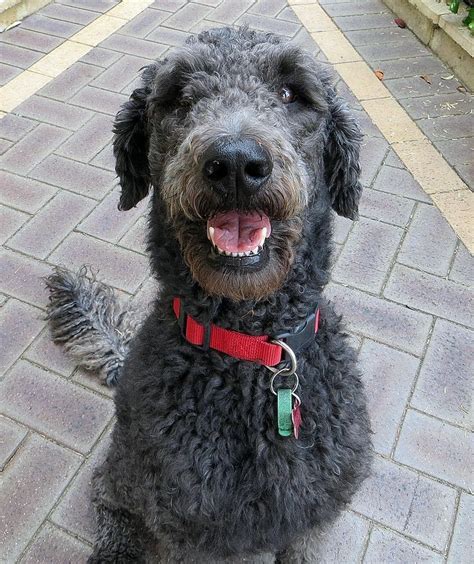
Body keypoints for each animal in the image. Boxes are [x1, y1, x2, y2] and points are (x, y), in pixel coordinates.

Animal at [47, 25, 374, 564]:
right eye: (179, 97)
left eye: (291, 93)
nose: (237, 163)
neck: (250, 352)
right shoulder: (193, 533)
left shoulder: (311, 523)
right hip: (122, 475)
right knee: (109, 501)